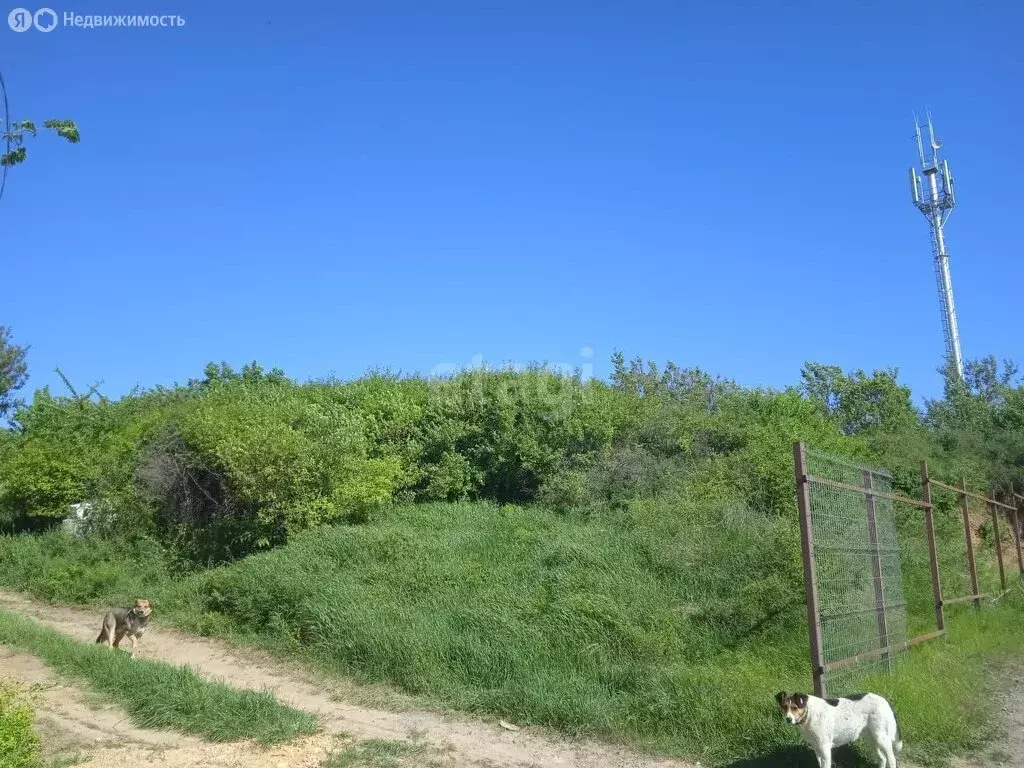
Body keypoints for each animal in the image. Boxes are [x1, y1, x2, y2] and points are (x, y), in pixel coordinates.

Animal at [774, 692, 905, 768]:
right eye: (784, 707)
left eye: (795, 708)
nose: (788, 719)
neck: (808, 713)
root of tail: (885, 701)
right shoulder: (816, 748)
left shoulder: (825, 749)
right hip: (872, 739)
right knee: (882, 758)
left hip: (881, 738)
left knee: (891, 759)